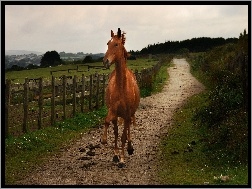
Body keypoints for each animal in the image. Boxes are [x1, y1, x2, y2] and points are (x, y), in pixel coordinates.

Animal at [100, 27, 140, 167]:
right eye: (107, 43)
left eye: (116, 44)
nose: (105, 61)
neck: (122, 87)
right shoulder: (113, 111)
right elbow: (109, 124)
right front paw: (105, 141)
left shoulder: (127, 114)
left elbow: (123, 136)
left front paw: (122, 158)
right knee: (117, 130)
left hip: (130, 114)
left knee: (127, 130)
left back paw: (129, 147)